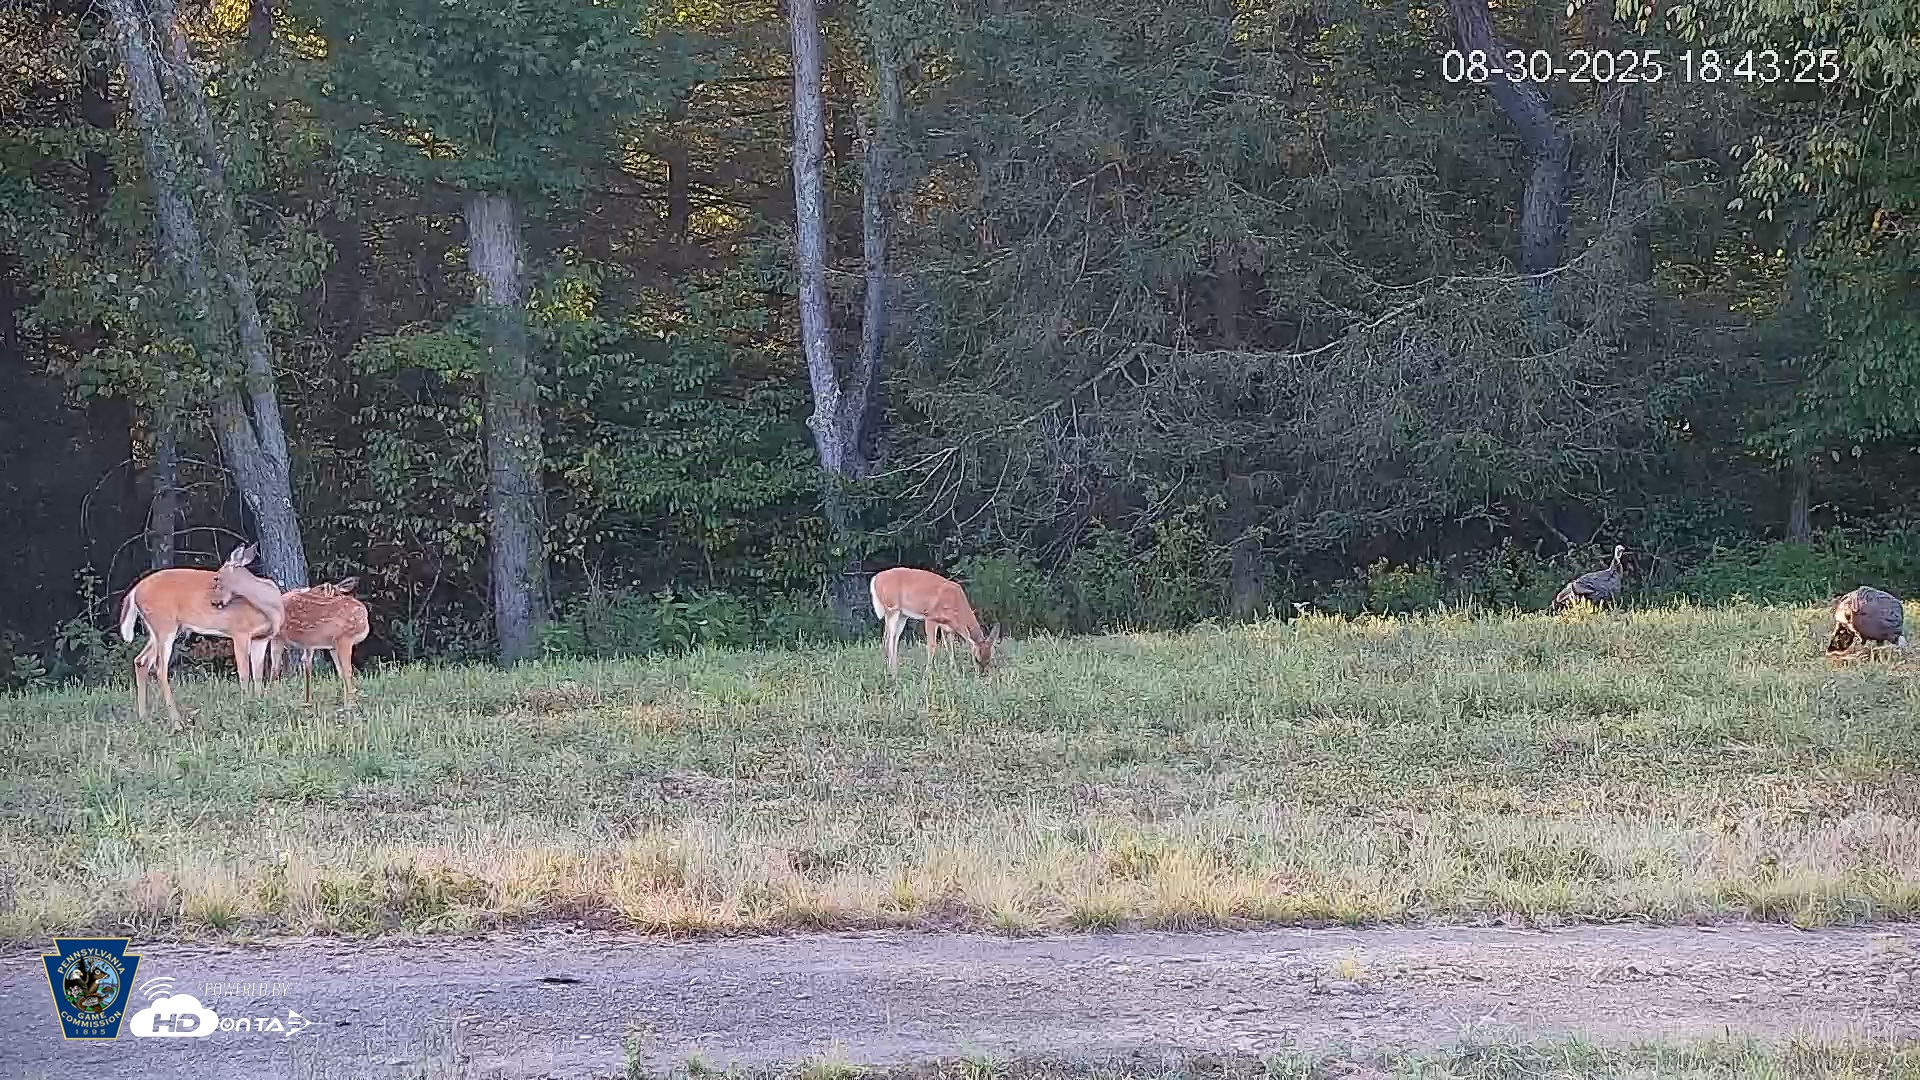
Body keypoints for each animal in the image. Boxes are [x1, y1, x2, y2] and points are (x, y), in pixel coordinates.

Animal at [118, 543, 287, 732]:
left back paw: (144, 718)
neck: (270, 606)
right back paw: (177, 723)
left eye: (217, 578)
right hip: (164, 625)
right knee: (160, 668)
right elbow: (244, 673)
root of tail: (134, 591)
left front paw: (258, 705)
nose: (214, 602)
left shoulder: (261, 639)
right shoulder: (240, 632)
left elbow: (258, 675)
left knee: (141, 661)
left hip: (163, 629)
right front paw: (245, 708)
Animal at [868, 566, 1001, 687]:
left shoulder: (948, 627)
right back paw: (891, 675)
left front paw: (955, 674)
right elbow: (932, 646)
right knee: (888, 639)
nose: (982, 675)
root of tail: (875, 579)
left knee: (893, 639)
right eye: (976, 658)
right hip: (892, 608)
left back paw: (892, 672)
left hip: (902, 615)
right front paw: (928, 675)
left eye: (990, 658)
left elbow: (950, 649)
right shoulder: (931, 617)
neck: (955, 605)